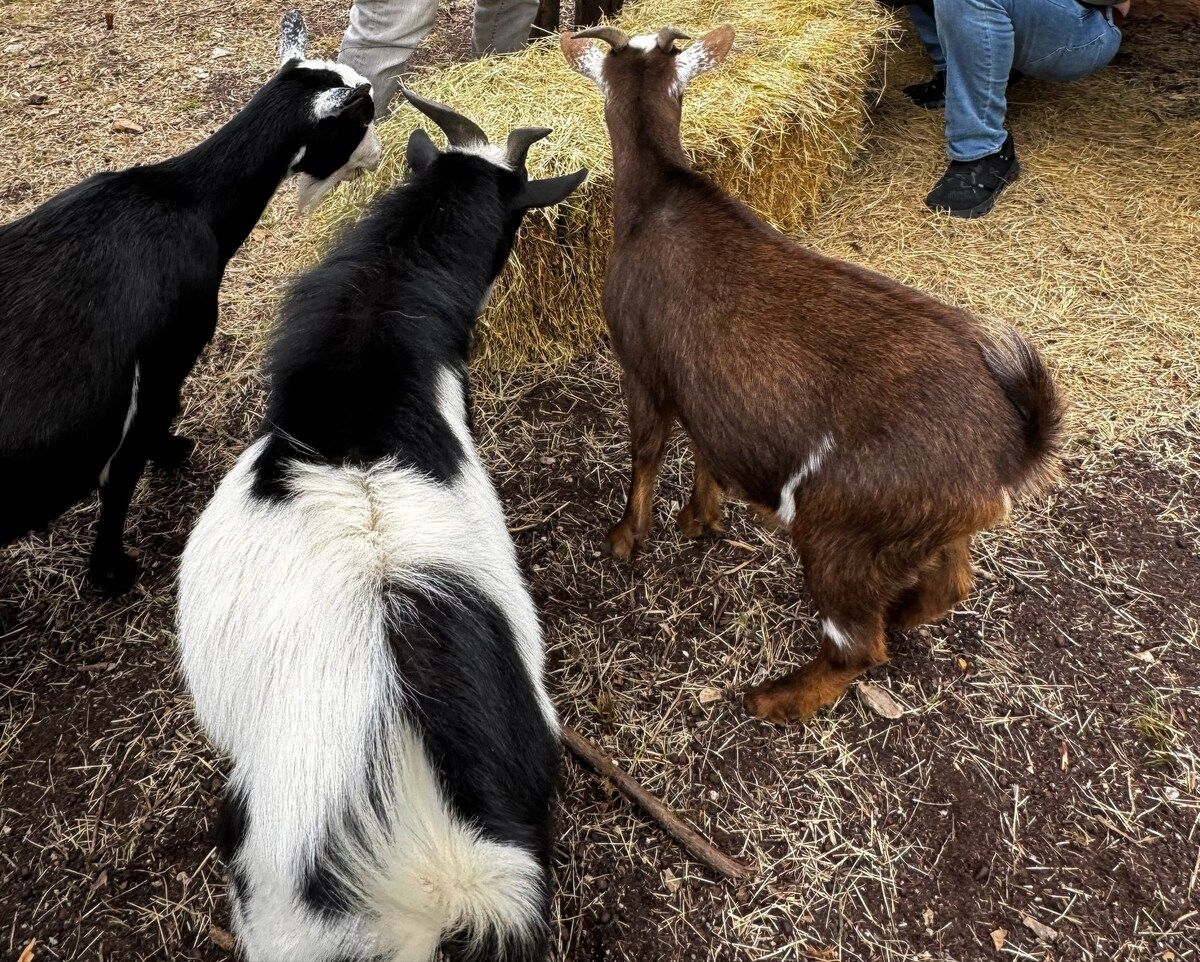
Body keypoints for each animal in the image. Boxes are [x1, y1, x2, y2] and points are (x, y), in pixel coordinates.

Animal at [0, 10, 381, 594]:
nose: (380, 156)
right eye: (362, 117)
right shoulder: (167, 354)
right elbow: (125, 469)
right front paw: (112, 570)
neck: (185, 199)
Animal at [562, 25, 1064, 724]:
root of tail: (1009, 452)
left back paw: (772, 698)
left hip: (839, 533)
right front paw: (700, 519)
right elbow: (706, 449)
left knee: (857, 649)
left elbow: (646, 450)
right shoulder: (707, 395)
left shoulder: (640, 364)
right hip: (925, 530)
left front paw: (626, 538)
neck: (659, 197)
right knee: (948, 587)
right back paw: (901, 615)